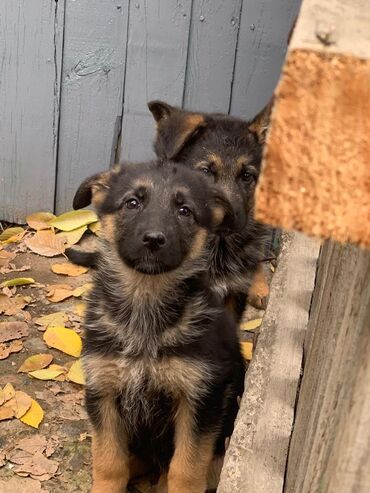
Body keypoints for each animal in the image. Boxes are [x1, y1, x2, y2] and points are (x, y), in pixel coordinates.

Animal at [74, 161, 246, 492]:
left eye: (185, 211)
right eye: (132, 202)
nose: (154, 239)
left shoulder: (201, 400)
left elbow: (186, 470)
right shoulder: (103, 390)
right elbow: (109, 463)